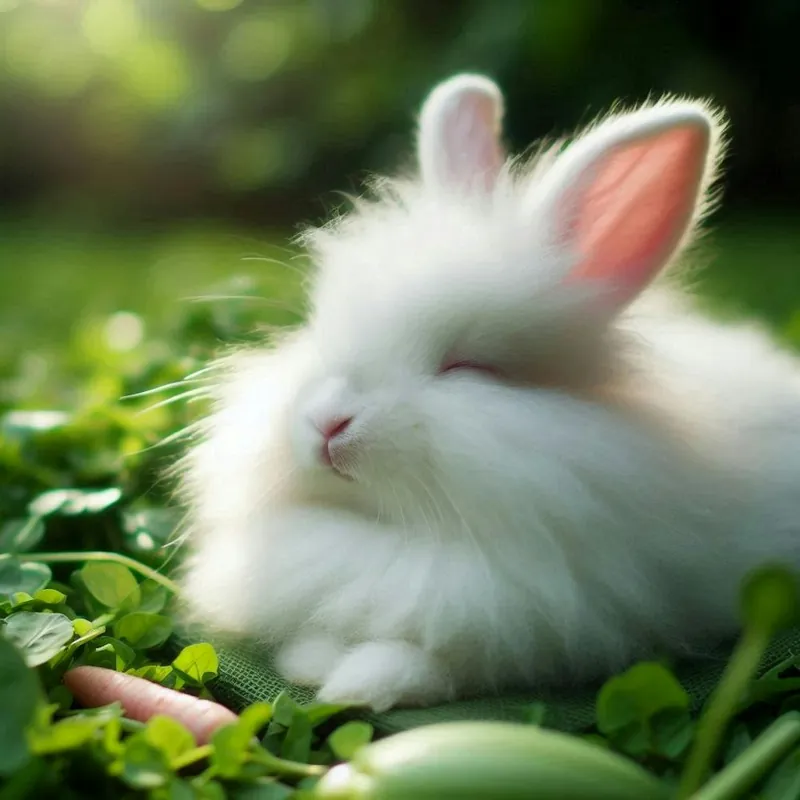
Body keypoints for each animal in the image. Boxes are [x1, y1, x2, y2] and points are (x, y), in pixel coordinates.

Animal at [175, 73, 800, 713]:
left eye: (466, 366)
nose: (327, 424)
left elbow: (433, 664)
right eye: (320, 329)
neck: (392, 537)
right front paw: (310, 663)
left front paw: (362, 685)